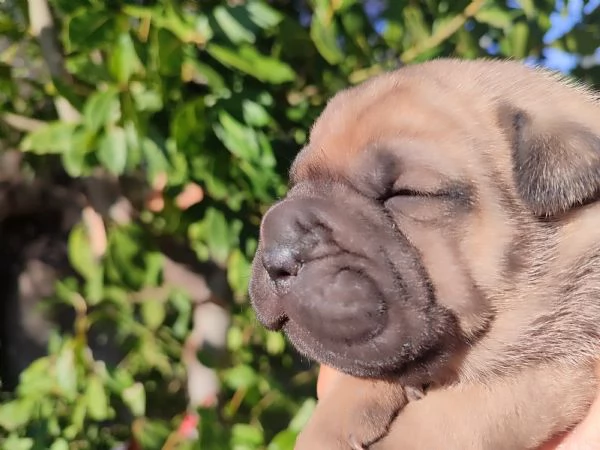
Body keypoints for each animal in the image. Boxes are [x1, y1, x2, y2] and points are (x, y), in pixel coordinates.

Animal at [250, 58, 600, 448]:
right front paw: (332, 420)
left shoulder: (555, 367)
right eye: (296, 184)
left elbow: (452, 417)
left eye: (407, 194)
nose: (277, 252)